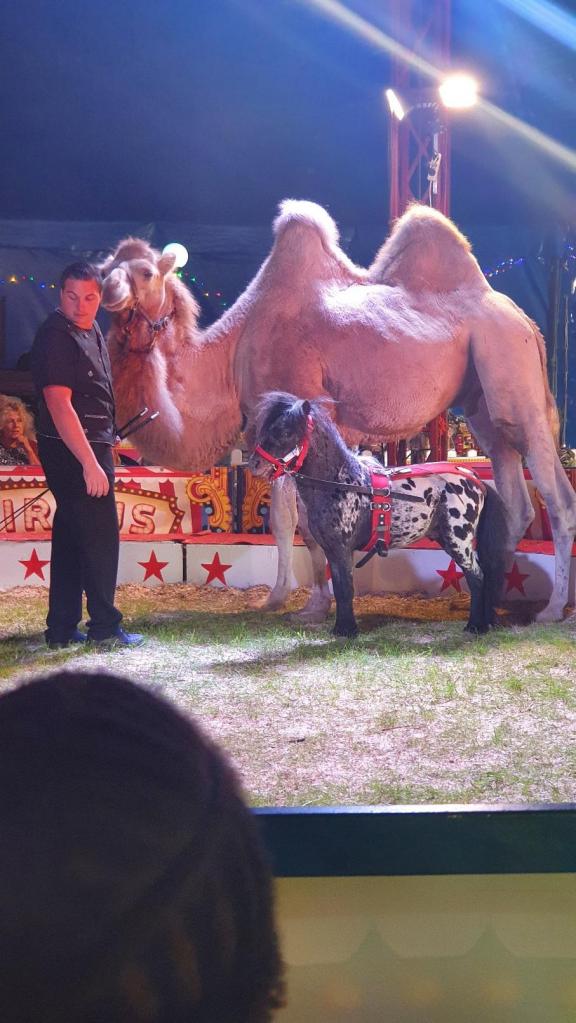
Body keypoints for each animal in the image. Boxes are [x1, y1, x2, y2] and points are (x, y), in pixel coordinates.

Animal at [250, 392, 511, 638]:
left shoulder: (342, 549)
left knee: (477, 577)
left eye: (285, 431)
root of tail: (474, 479)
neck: (341, 482)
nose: (254, 464)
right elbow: (340, 588)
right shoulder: (332, 550)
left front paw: (347, 630)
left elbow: (345, 589)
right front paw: (341, 628)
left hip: (459, 540)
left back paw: (475, 626)